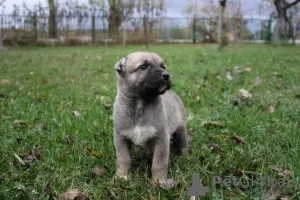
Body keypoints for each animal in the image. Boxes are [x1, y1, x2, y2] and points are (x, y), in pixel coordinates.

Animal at [112, 51, 188, 189]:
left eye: (163, 66)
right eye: (143, 66)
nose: (166, 75)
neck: (140, 104)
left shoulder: (161, 139)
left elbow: (159, 163)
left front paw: (158, 181)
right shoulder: (121, 138)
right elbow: (123, 159)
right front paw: (122, 177)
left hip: (181, 129)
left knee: (183, 144)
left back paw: (185, 156)